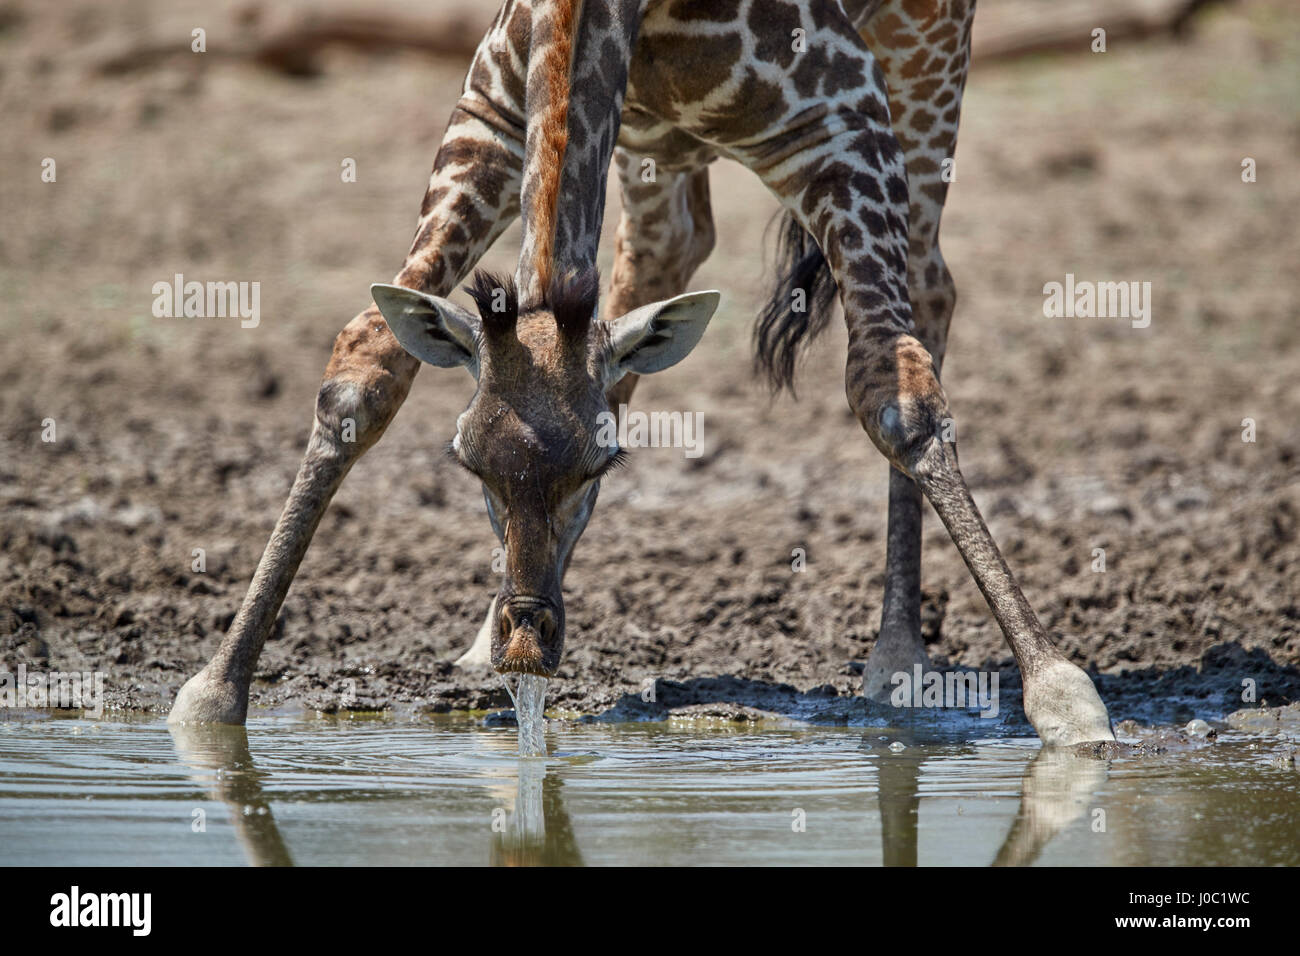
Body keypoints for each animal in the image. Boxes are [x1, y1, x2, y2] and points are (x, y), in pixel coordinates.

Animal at [169, 0, 1116, 746]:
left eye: (604, 464)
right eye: (466, 462)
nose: (526, 649)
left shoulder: (838, 119)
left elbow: (896, 392)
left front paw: (1061, 693)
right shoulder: (490, 109)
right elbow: (363, 367)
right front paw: (215, 688)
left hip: (925, 55)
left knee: (928, 288)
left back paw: (899, 653)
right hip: (654, 144)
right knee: (657, 261)